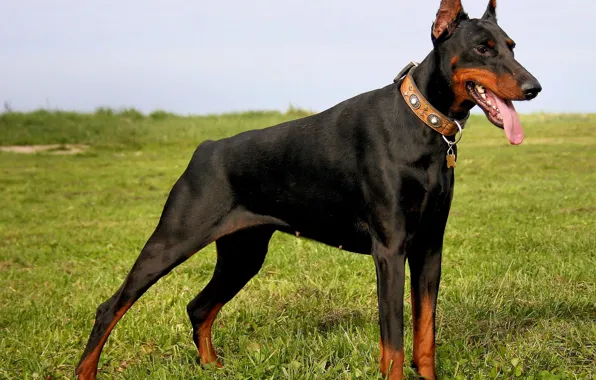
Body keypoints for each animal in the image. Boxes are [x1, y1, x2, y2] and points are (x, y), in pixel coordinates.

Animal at [74, 1, 540, 378]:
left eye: (512, 45)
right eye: (483, 47)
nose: (534, 87)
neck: (422, 124)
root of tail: (205, 148)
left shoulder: (429, 247)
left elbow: (425, 334)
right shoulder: (390, 250)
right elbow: (393, 341)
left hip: (244, 253)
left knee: (199, 306)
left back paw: (212, 366)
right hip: (173, 240)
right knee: (110, 308)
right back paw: (87, 370)